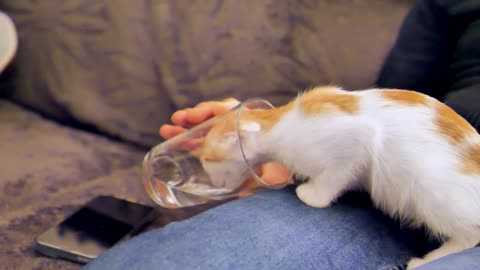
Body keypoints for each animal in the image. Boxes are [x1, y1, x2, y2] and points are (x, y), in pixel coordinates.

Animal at [201, 85, 480, 268]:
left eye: (205, 162)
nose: (213, 183)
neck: (278, 124)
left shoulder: (358, 138)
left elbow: (334, 177)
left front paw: (311, 195)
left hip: (430, 189)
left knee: (471, 234)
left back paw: (425, 261)